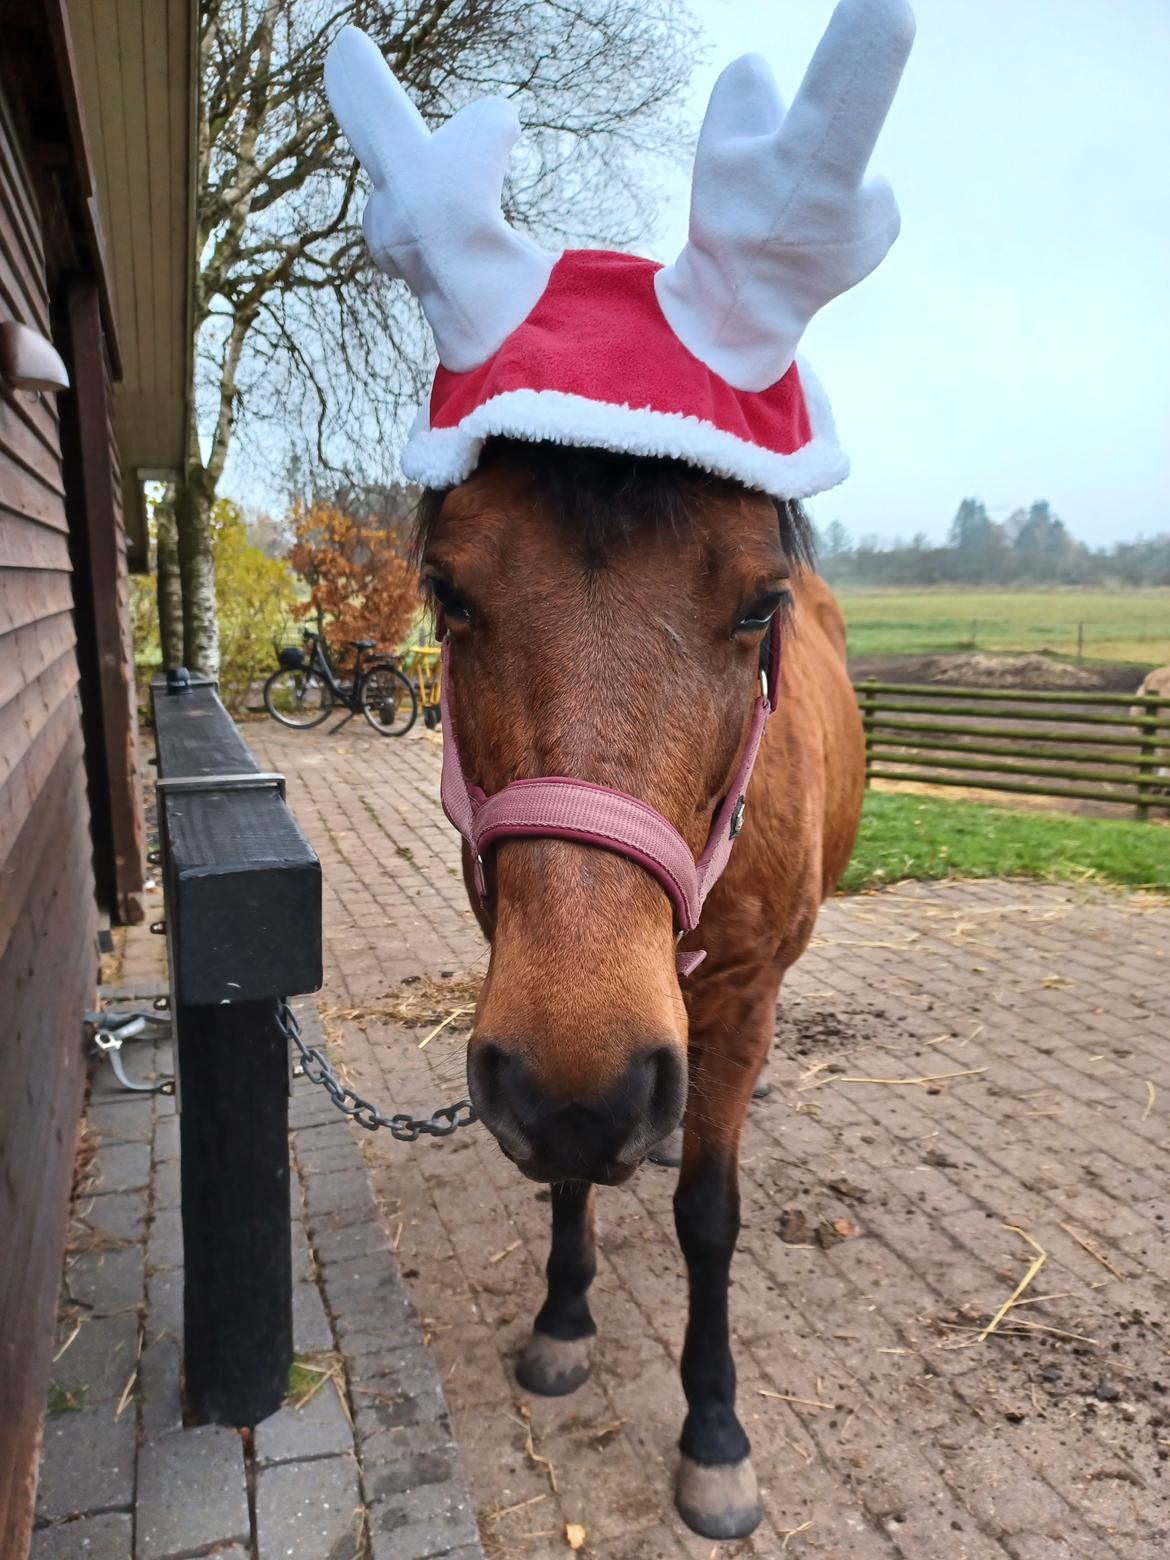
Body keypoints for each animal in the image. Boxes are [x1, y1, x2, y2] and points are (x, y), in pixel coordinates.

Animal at [418, 436, 867, 1535]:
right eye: (449, 591)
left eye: (760, 604)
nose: (587, 1093)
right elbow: (568, 1172)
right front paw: (563, 1318)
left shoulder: (742, 1000)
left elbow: (709, 1216)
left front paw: (715, 1433)